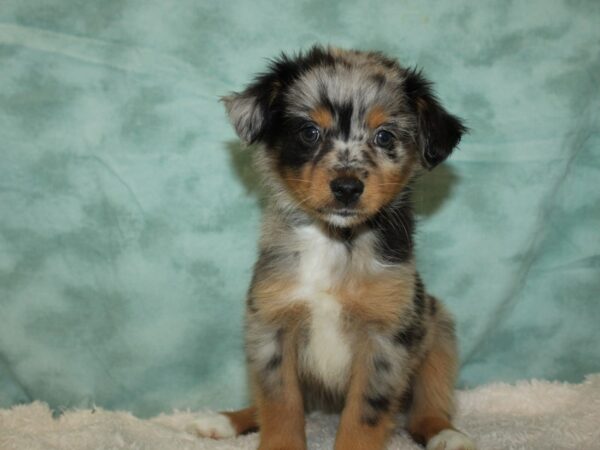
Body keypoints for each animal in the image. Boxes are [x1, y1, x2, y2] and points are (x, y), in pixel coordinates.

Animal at [191, 46, 474, 450]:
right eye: (309, 132)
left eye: (384, 136)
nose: (347, 188)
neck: (335, 241)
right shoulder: (272, 325)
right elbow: (280, 403)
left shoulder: (385, 339)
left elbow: (363, 415)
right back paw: (224, 420)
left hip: (439, 333)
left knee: (427, 406)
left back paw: (446, 434)